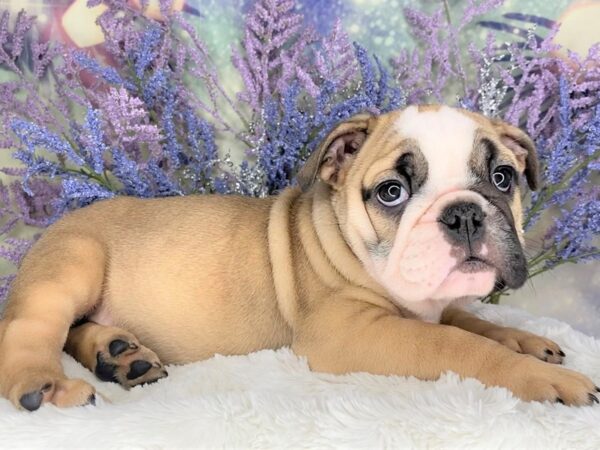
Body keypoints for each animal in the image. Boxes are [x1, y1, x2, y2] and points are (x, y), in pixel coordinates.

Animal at [1, 105, 600, 412]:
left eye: (502, 178)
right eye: (392, 192)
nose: (465, 214)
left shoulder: (434, 302)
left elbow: (470, 321)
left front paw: (524, 340)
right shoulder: (351, 332)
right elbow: (457, 344)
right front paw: (542, 377)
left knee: (76, 331)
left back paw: (120, 355)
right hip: (73, 265)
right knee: (32, 330)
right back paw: (45, 384)